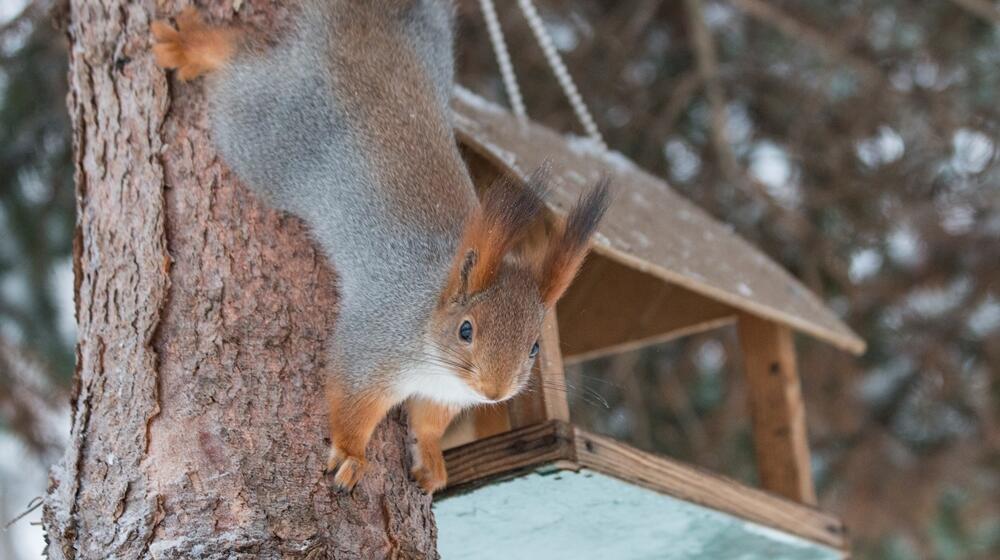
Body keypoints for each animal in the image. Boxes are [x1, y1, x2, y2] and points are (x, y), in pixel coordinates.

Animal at [152, 2, 608, 494]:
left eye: (534, 347)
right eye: (466, 330)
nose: (494, 392)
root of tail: (361, 39)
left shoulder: (441, 395)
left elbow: (428, 423)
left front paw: (431, 459)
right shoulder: (374, 341)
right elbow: (352, 399)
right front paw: (352, 454)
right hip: (265, 138)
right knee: (240, 66)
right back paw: (195, 46)